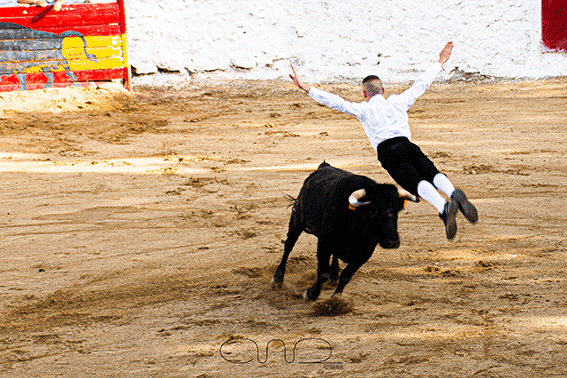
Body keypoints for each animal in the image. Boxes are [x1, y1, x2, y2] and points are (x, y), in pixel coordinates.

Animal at [270, 162, 418, 302]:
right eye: (373, 210)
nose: (393, 242)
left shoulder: (366, 252)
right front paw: (311, 294)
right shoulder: (324, 243)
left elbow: (346, 276)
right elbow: (322, 273)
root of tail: (323, 167)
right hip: (297, 221)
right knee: (288, 246)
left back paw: (334, 275)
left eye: (397, 210)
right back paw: (277, 279)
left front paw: (336, 299)